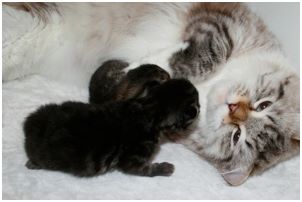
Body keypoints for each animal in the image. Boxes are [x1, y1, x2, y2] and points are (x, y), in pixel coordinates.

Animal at [23, 79, 198, 177]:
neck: (150, 107)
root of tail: (30, 126)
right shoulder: (134, 157)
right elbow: (146, 169)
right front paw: (165, 168)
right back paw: (32, 164)